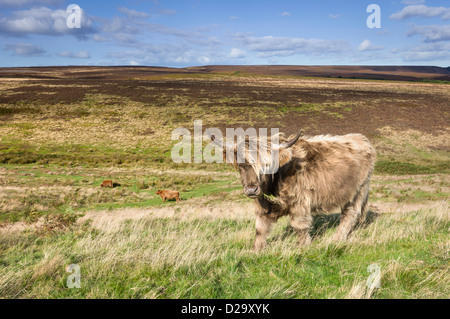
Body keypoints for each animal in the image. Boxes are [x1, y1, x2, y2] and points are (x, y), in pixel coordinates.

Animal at [211, 131, 376, 251]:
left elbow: (299, 226)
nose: (252, 189)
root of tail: (361, 138)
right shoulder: (262, 205)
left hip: (358, 190)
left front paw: (303, 247)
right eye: (241, 164)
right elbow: (260, 229)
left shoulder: (300, 202)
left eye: (267, 165)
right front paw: (256, 250)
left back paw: (336, 239)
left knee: (350, 214)